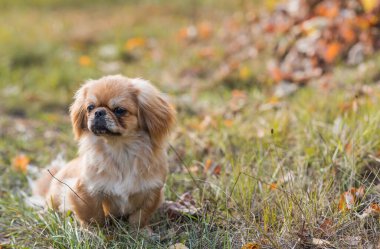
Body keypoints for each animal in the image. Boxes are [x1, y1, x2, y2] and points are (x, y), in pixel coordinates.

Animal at [31, 75, 176, 229]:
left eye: (119, 110)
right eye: (90, 107)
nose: (99, 112)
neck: (119, 149)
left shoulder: (152, 191)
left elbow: (140, 216)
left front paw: (140, 230)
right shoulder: (85, 190)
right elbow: (93, 216)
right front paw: (93, 231)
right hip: (54, 198)